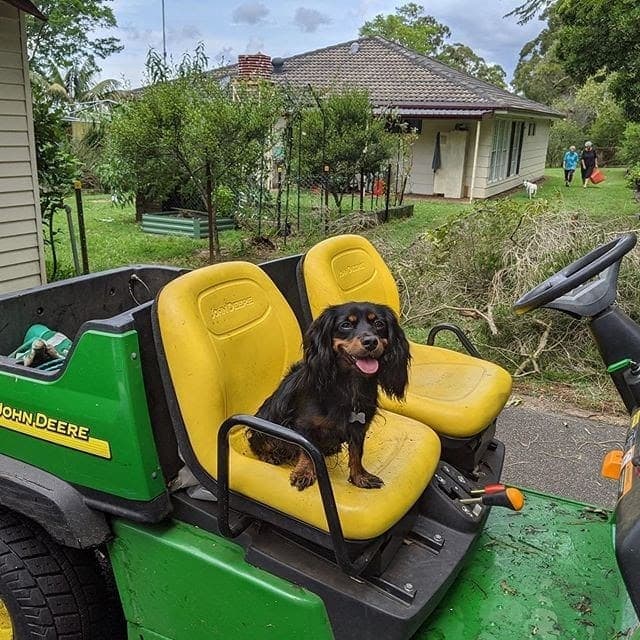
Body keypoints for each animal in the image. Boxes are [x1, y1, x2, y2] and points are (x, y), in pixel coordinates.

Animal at [246, 302, 410, 492]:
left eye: (379, 324)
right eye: (345, 325)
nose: (371, 342)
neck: (349, 386)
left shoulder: (359, 427)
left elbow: (357, 453)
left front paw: (359, 477)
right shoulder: (303, 425)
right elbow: (307, 452)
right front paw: (304, 473)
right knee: (258, 442)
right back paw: (269, 455)